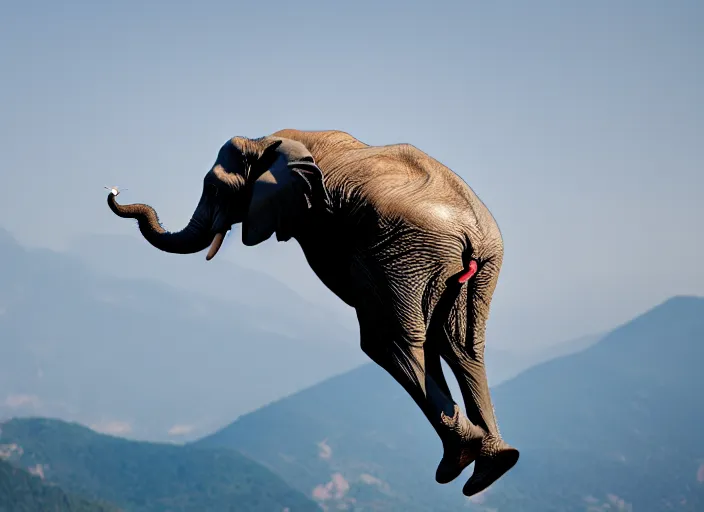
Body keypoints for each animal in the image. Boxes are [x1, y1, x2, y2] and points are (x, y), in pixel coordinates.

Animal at [107, 128, 520, 496]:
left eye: (216, 188)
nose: (114, 190)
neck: (266, 142)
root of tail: (470, 231)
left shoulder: (315, 217)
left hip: (406, 255)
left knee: (389, 342)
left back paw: (460, 458)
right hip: (469, 265)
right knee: (460, 347)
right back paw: (490, 465)